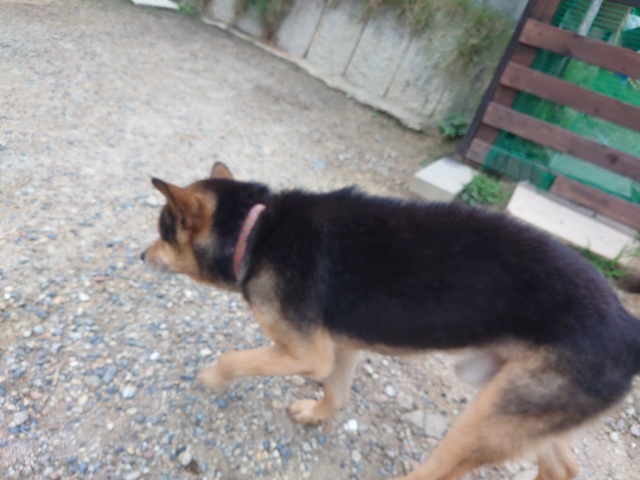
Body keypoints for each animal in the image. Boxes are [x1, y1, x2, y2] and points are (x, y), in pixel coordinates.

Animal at [141, 162, 640, 480]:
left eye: (164, 233)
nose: (141, 255)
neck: (257, 232)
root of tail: (628, 327)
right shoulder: (341, 346)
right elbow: (336, 394)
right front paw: (315, 414)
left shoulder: (307, 352)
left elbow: (233, 359)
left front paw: (211, 377)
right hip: (519, 404)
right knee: (562, 467)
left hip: (484, 420)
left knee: (438, 473)